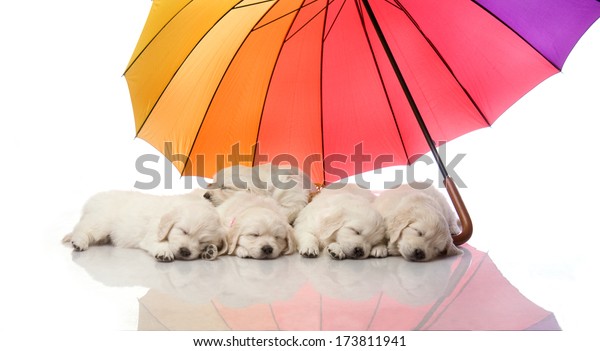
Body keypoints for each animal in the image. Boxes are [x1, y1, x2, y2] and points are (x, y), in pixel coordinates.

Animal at [62, 190, 227, 262]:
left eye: (203, 242)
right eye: (184, 231)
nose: (185, 251)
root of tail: (92, 200)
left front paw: (210, 251)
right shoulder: (154, 231)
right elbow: (159, 242)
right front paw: (164, 252)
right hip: (101, 222)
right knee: (82, 228)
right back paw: (78, 242)